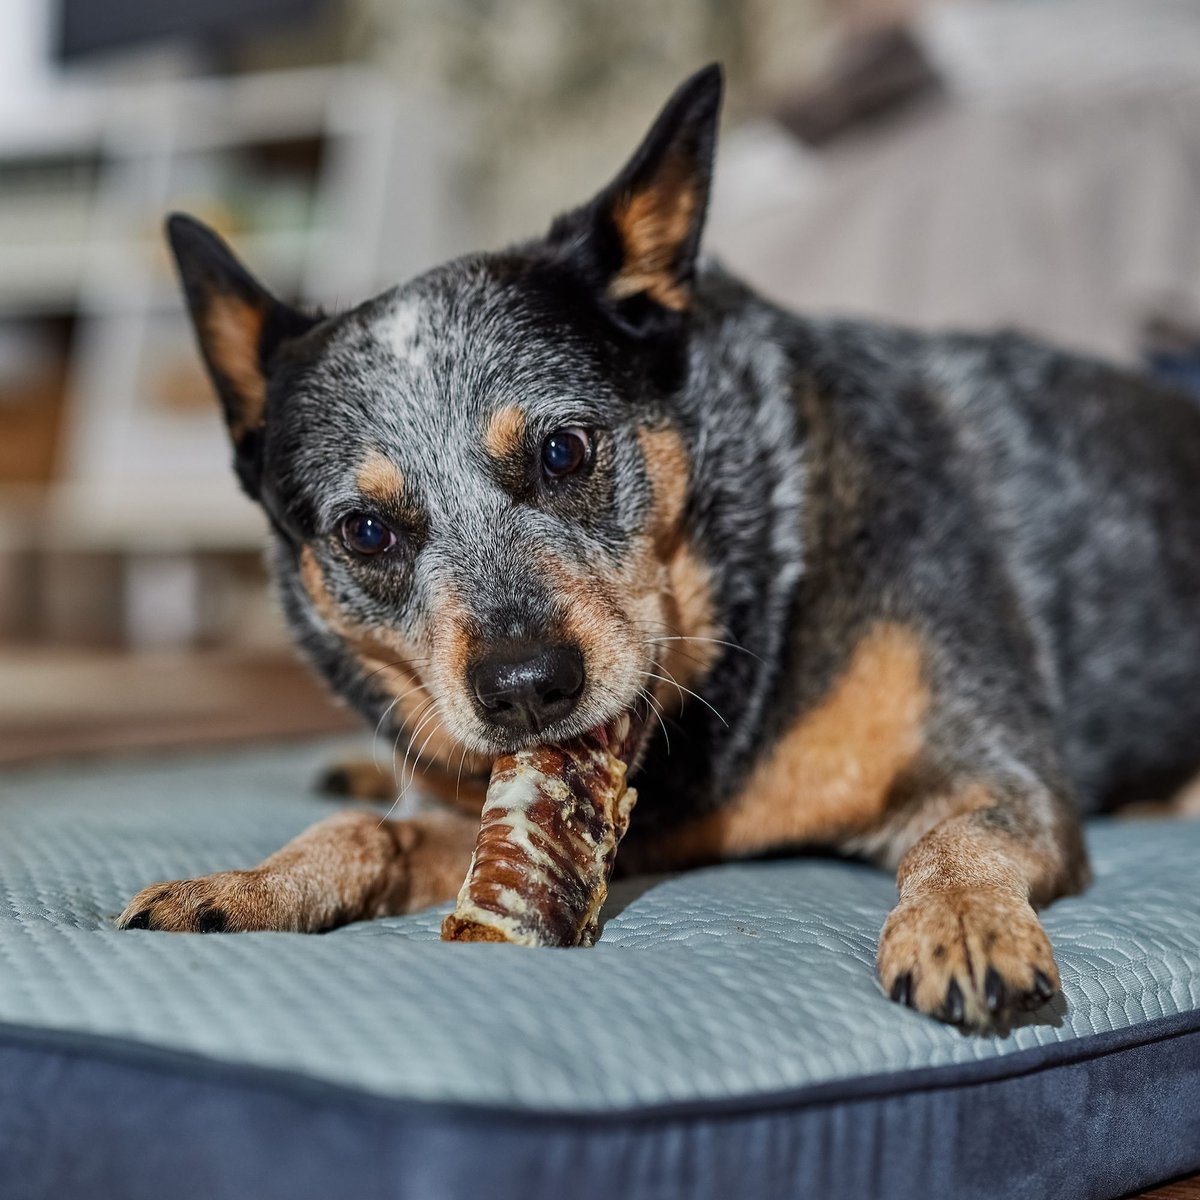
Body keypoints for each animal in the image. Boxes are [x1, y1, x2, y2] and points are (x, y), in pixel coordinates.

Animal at [117, 65, 1200, 1027]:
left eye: (563, 450)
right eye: (367, 531)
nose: (525, 687)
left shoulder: (1001, 771)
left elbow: (952, 836)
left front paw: (964, 926)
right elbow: (373, 834)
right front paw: (250, 884)